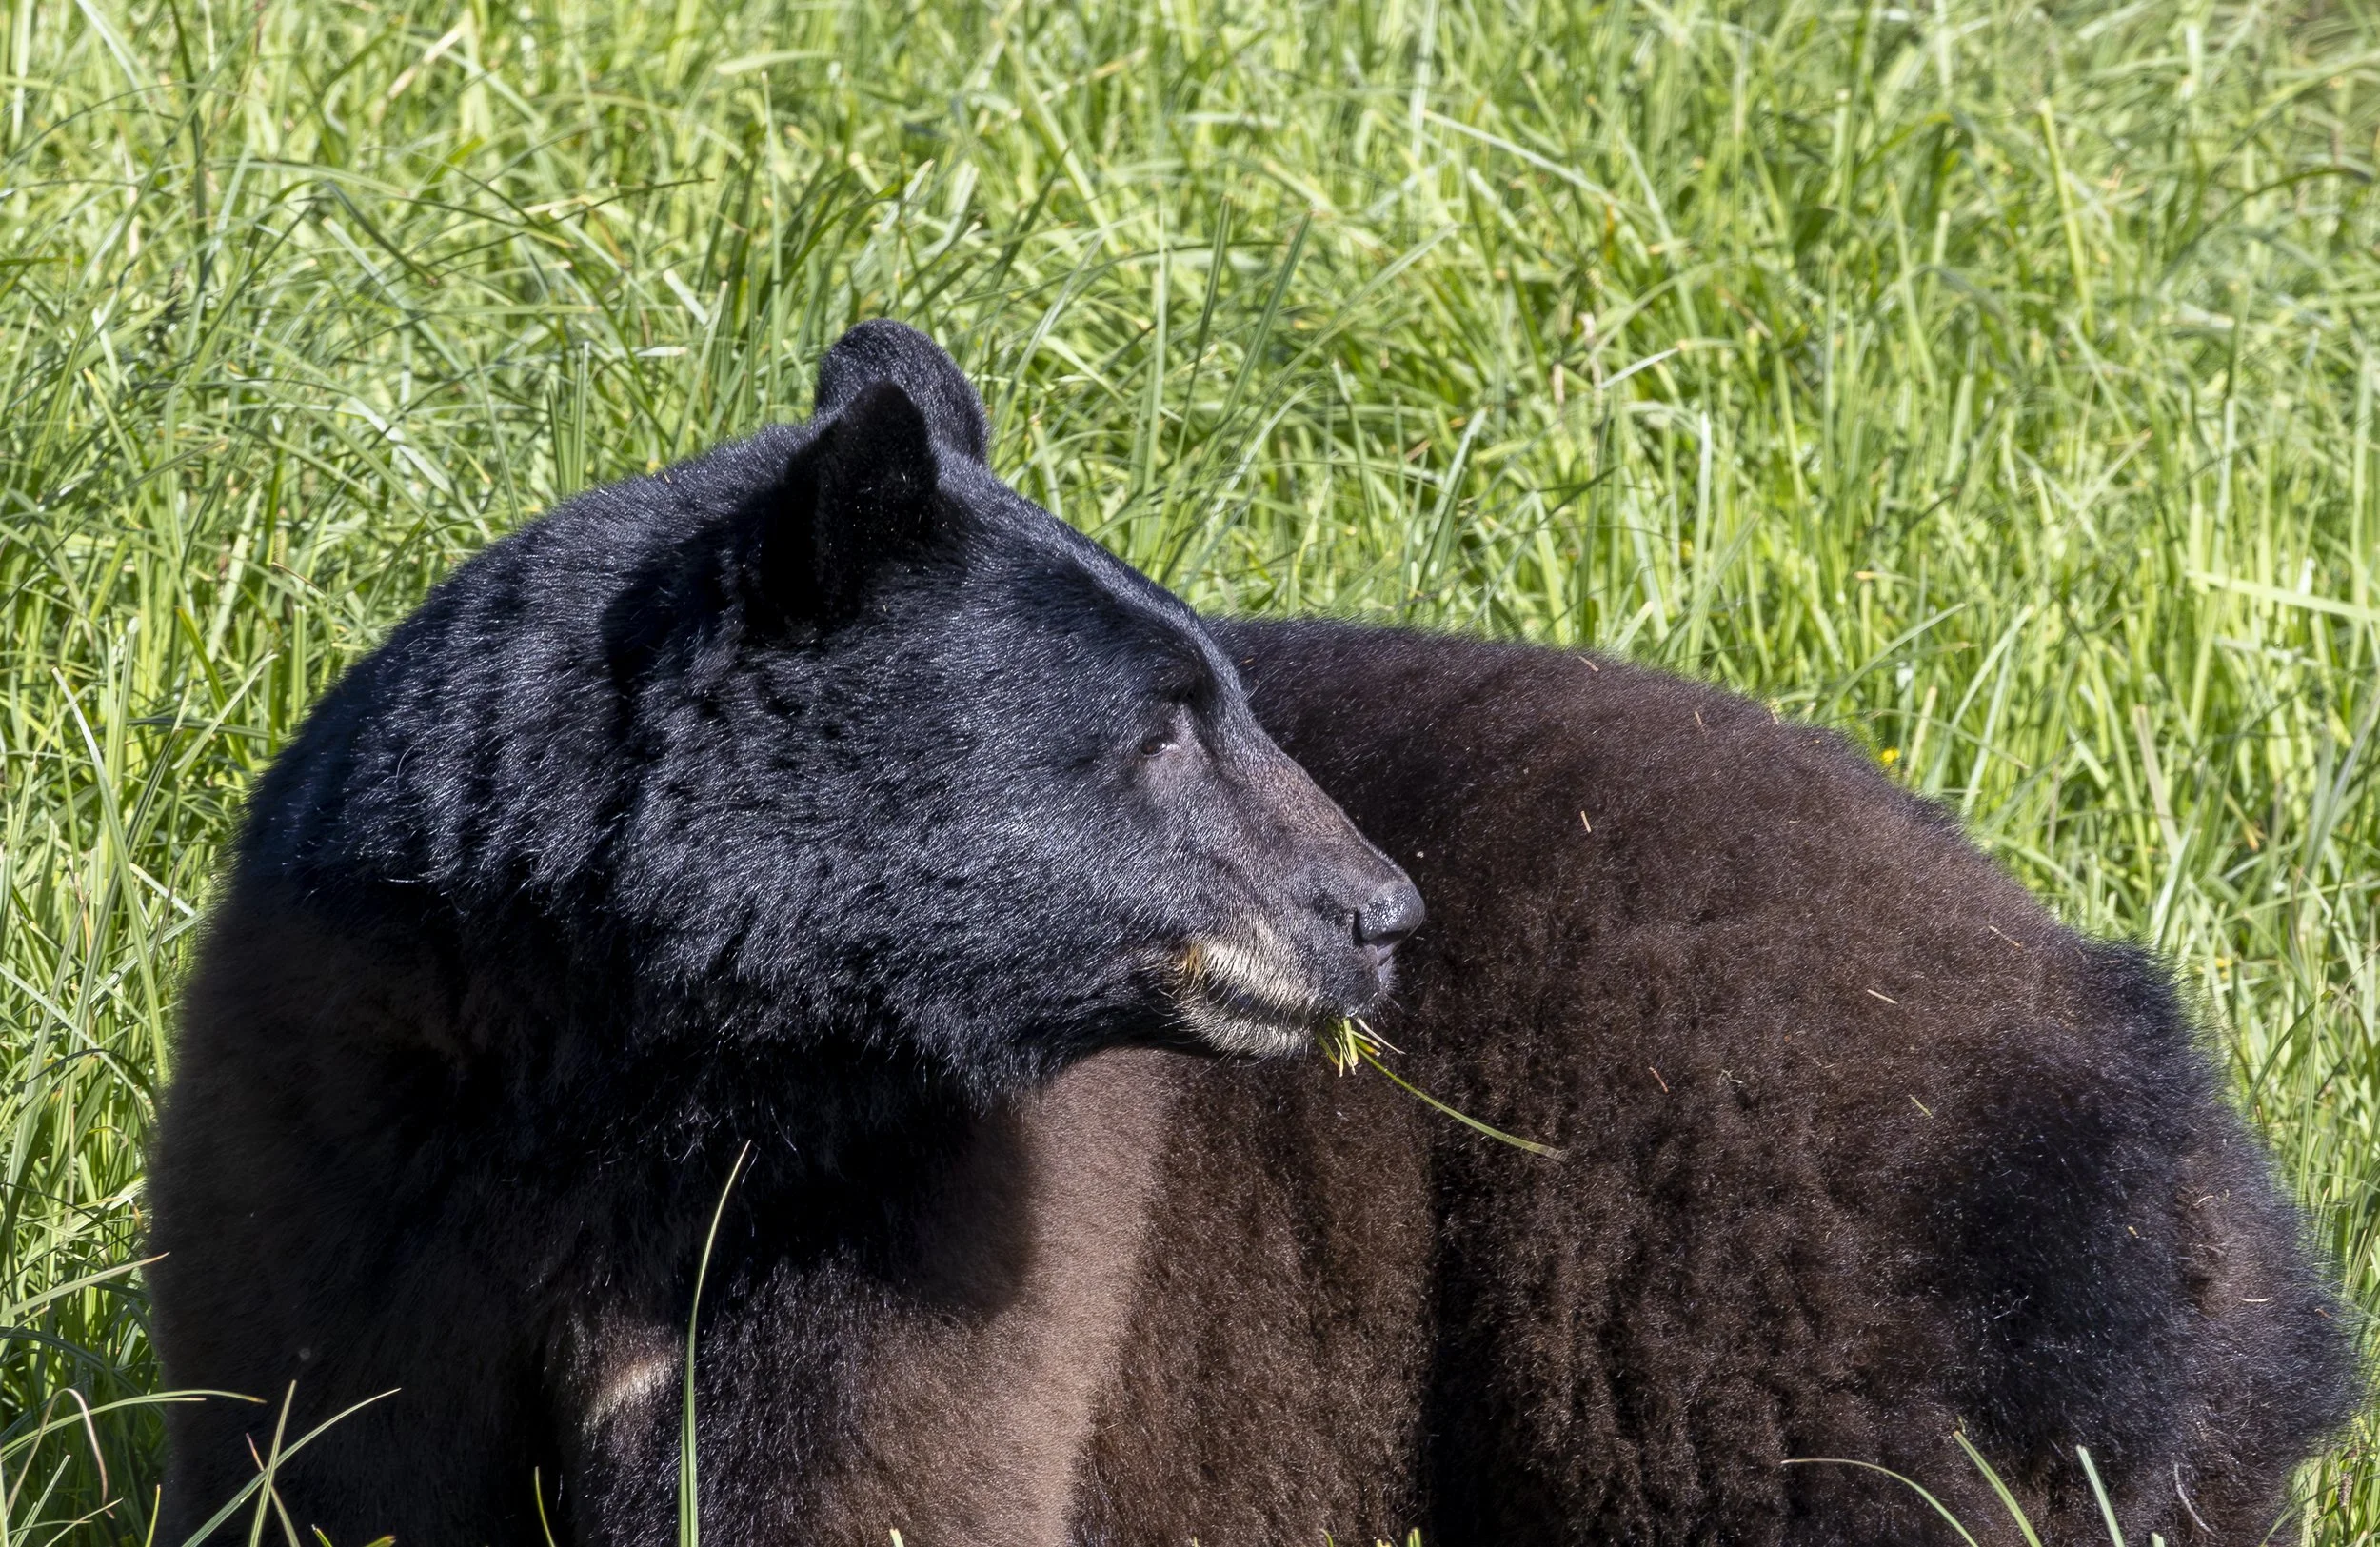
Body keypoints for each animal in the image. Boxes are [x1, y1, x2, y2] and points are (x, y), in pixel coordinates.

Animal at [149, 320, 2358, 1545]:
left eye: (1220, 688)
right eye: (1160, 723)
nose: (1380, 911)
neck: (654, 1071)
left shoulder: (915, 1205)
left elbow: (852, 1480)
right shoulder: (348, 1104)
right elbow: (326, 1450)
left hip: (1780, 1251)